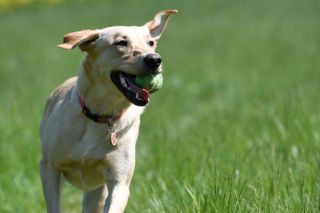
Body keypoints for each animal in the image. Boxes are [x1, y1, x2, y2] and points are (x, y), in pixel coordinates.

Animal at [39, 10, 178, 213]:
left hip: (97, 192)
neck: (101, 115)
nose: (155, 59)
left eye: (151, 43)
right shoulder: (49, 169)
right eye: (121, 42)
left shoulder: (119, 181)